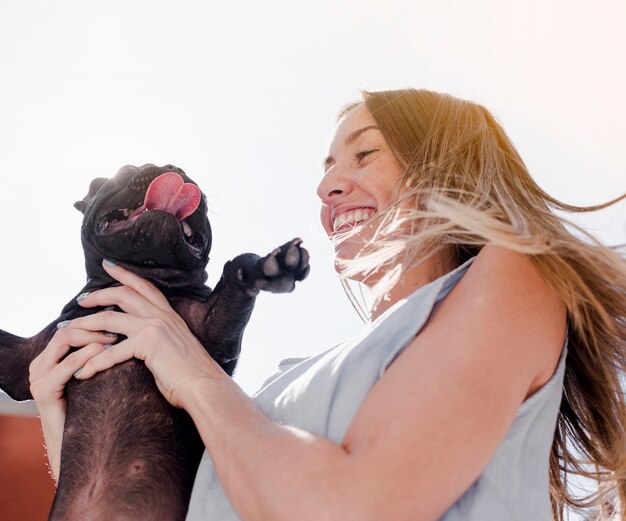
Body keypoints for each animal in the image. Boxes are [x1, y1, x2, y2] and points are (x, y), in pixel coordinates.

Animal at [0, 165, 308, 520]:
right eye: (127, 170)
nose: (172, 169)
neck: (145, 277)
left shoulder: (212, 329)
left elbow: (236, 271)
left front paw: (271, 265)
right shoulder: (31, 358)